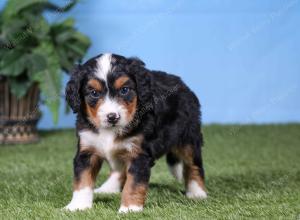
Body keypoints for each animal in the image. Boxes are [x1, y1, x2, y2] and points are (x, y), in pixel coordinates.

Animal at [65, 53, 206, 213]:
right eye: (94, 93)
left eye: (124, 90)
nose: (112, 117)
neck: (110, 131)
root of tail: (183, 85)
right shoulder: (87, 150)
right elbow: (82, 181)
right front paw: (78, 206)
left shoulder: (138, 154)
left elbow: (133, 184)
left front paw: (129, 209)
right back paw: (108, 188)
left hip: (188, 137)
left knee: (194, 165)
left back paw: (197, 193)